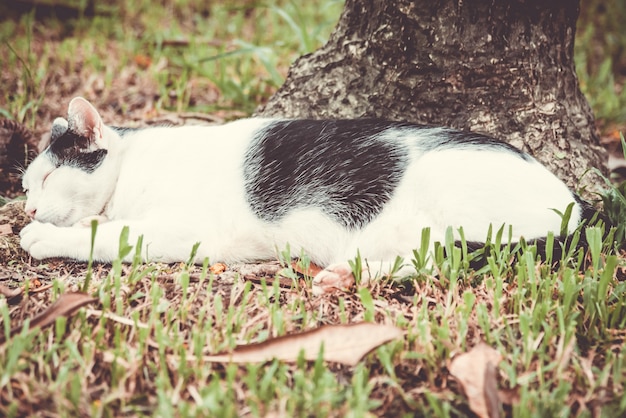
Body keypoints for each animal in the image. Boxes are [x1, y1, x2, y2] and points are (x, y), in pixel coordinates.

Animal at [18, 97, 596, 294]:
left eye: (46, 180)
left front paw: (42, 236)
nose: (26, 205)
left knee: (446, 260)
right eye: (25, 185)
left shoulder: (183, 229)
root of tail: (576, 212)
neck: (131, 171)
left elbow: (106, 235)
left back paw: (344, 274)